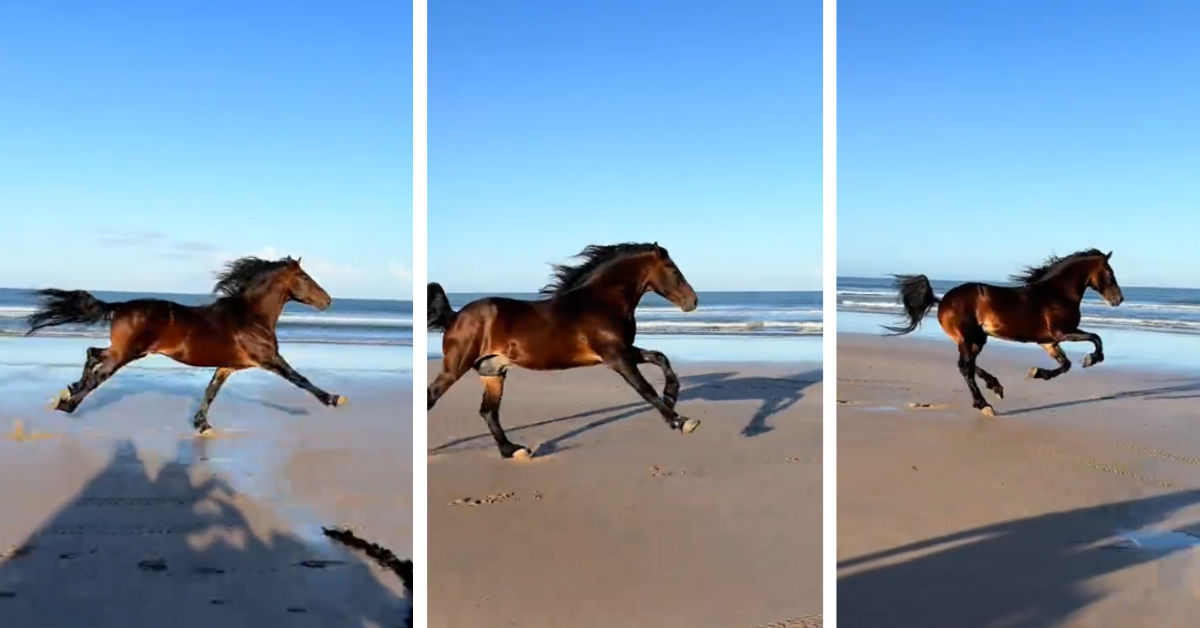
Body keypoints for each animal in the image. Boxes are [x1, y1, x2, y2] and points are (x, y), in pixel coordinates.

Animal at [24, 255, 348, 432]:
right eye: (304, 277)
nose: (328, 301)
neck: (249, 316)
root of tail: (121, 305)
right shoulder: (268, 358)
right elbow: (299, 378)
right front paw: (333, 398)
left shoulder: (227, 366)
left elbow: (210, 392)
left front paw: (201, 424)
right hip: (127, 353)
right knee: (98, 375)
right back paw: (68, 403)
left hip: (125, 350)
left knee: (93, 354)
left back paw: (70, 389)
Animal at [427, 243, 700, 458]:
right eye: (673, 269)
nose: (693, 301)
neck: (602, 302)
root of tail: (455, 316)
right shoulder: (616, 356)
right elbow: (645, 389)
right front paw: (681, 421)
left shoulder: (624, 351)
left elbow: (660, 357)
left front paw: (671, 395)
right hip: (456, 366)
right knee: (433, 396)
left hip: (493, 371)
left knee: (488, 412)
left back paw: (513, 450)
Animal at [883, 249, 1123, 417]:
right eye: (1110, 273)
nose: (1118, 300)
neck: (1057, 294)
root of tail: (942, 301)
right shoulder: (1062, 332)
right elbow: (1096, 339)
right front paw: (1092, 359)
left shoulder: (1048, 341)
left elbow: (1065, 365)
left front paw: (1037, 372)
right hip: (969, 338)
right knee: (965, 367)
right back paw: (985, 405)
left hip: (977, 339)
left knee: (967, 365)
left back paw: (995, 387)